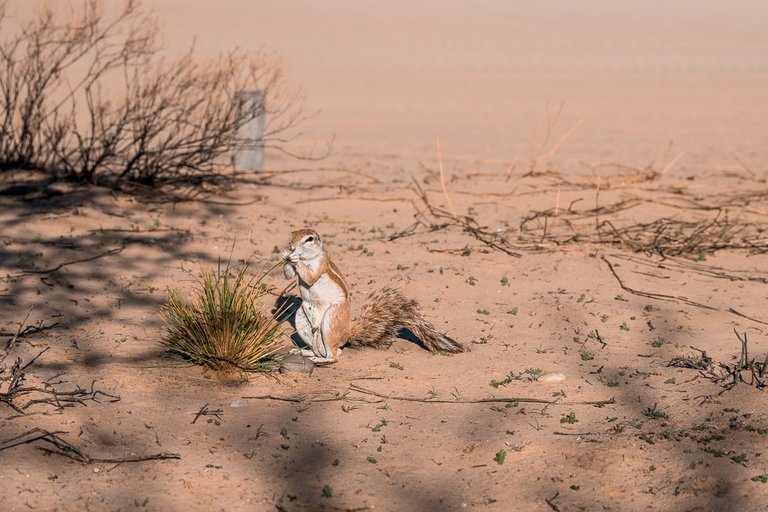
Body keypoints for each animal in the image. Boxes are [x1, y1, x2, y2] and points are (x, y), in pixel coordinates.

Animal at [280, 228, 462, 364]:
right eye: (291, 235)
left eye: (309, 239)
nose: (292, 246)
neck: (308, 258)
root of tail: (346, 336)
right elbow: (289, 275)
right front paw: (285, 255)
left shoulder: (320, 265)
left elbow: (310, 277)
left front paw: (293, 257)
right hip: (302, 316)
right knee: (326, 348)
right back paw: (305, 352)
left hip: (331, 318)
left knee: (334, 355)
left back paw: (320, 360)